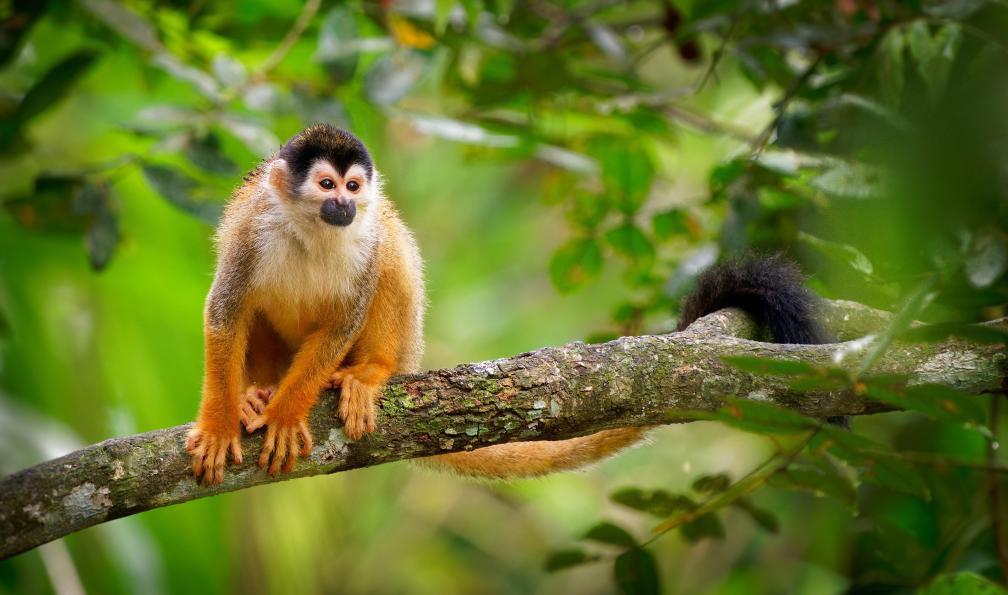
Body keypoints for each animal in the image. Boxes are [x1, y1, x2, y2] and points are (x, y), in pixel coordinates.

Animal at [186, 123, 829, 486]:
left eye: (351, 188)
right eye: (325, 186)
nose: (345, 206)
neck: (311, 229)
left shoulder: (361, 241)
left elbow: (346, 315)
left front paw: (288, 414)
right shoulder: (250, 230)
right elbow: (224, 312)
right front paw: (220, 420)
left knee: (393, 249)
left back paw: (369, 372)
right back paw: (258, 390)